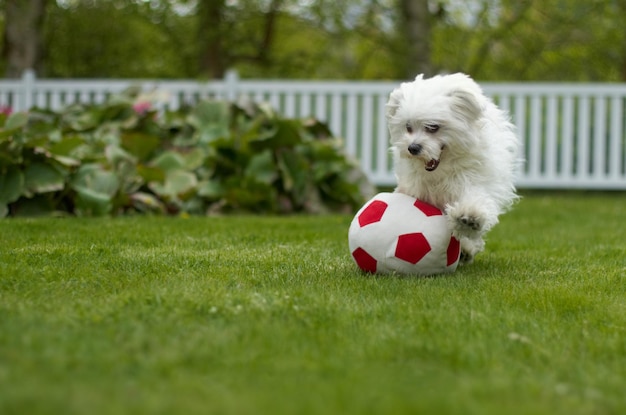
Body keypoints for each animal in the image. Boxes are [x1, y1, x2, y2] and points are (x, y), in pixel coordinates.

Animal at [382, 73, 520, 264]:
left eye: (433, 127)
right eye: (408, 127)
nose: (413, 148)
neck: (441, 173)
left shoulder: (473, 180)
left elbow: (474, 200)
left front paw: (469, 217)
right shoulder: (415, 187)